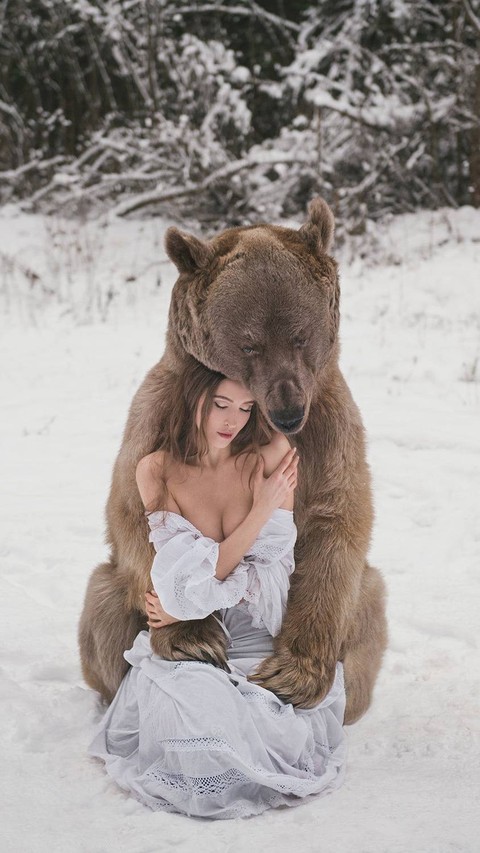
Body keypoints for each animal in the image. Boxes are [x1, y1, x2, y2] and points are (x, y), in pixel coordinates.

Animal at [78, 197, 387, 724]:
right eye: (249, 343)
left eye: (300, 336)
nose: (288, 410)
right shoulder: (157, 418)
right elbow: (135, 517)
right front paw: (194, 637)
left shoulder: (328, 432)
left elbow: (337, 522)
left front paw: (292, 673)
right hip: (111, 597)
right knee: (104, 604)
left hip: (364, 618)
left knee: (366, 607)